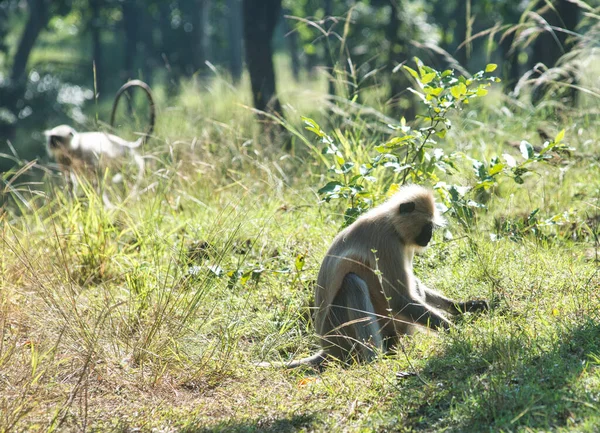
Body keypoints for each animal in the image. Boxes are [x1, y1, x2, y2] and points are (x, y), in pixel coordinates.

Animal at [258, 184, 488, 366]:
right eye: (427, 226)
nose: (429, 237)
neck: (391, 223)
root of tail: (327, 348)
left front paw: (464, 306)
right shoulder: (387, 241)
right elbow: (400, 300)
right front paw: (460, 332)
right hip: (340, 334)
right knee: (352, 282)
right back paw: (376, 360)